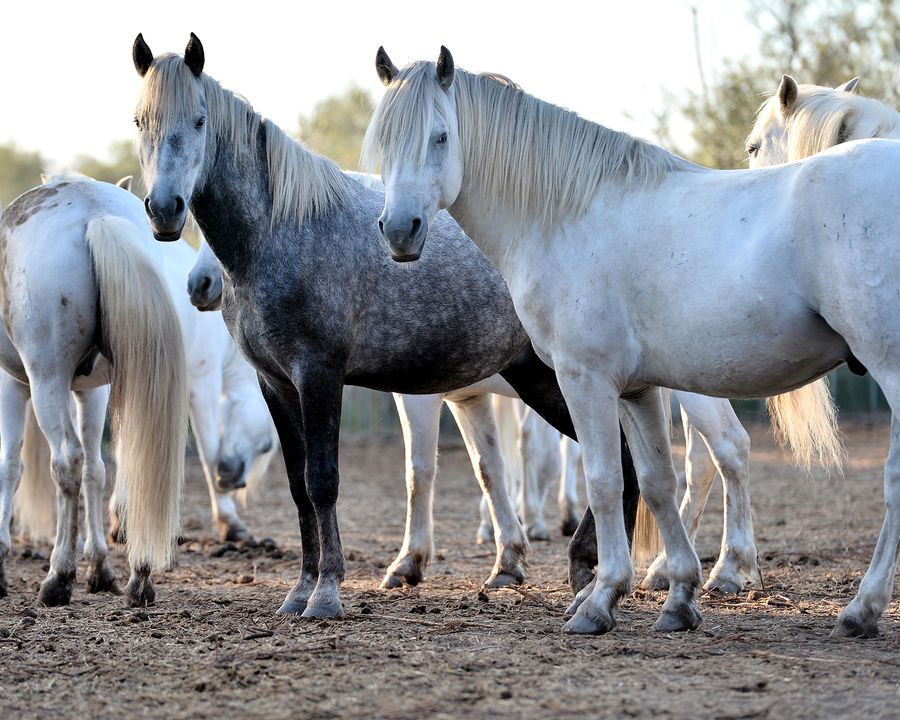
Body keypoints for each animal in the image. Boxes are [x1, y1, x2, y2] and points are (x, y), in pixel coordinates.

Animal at [0, 174, 185, 608]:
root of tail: (95, 212)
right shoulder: (91, 391)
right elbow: (97, 471)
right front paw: (100, 567)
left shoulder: (14, 384)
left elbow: (10, 466)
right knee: (125, 461)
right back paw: (139, 578)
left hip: (46, 380)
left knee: (67, 461)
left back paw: (58, 577)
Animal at [132, 35, 640, 620]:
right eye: (140, 121)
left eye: (198, 120)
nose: (164, 210)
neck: (284, 231)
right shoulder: (276, 384)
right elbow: (298, 486)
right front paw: (300, 589)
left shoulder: (320, 375)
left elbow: (323, 481)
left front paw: (327, 592)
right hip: (541, 379)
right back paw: (590, 575)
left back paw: (603, 582)